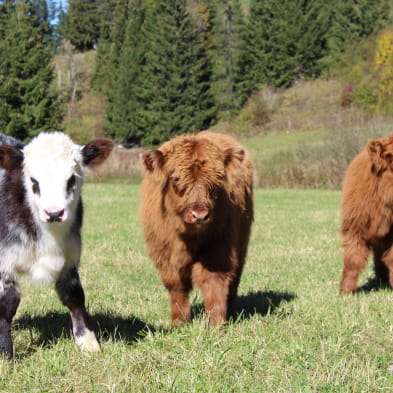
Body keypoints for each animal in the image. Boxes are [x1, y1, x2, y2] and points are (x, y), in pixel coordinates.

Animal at [0, 132, 113, 358]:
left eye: (72, 179)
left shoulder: (70, 256)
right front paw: (6, 353)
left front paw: (88, 341)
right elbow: (8, 301)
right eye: (33, 180)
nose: (54, 213)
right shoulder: (4, 260)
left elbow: (74, 295)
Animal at [139, 130, 253, 324]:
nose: (199, 214)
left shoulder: (219, 249)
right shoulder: (165, 254)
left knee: (235, 278)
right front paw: (180, 322)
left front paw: (216, 323)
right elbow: (176, 285)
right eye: (175, 179)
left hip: (241, 242)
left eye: (217, 179)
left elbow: (214, 282)